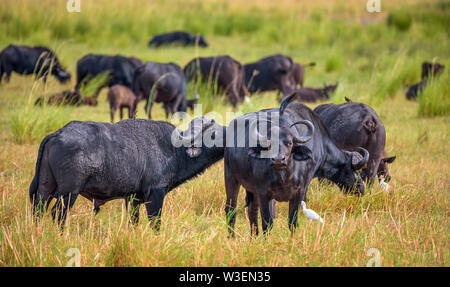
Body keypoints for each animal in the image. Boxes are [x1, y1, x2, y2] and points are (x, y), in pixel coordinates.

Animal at [29, 116, 225, 230]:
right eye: (213, 134)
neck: (174, 149)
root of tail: (58, 133)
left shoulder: (133, 199)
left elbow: (134, 222)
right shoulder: (156, 194)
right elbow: (155, 223)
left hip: (45, 189)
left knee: (38, 211)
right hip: (69, 193)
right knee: (57, 214)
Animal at [225, 94, 370, 236]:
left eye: (289, 143)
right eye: (352, 170)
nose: (361, 188)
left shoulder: (298, 192)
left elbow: (292, 222)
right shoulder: (264, 193)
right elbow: (268, 222)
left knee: (252, 210)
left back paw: (253, 236)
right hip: (231, 178)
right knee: (231, 210)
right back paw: (232, 237)